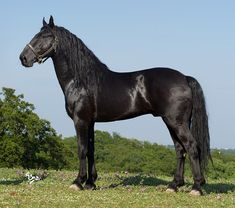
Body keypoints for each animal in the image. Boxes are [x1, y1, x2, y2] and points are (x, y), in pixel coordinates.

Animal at [19, 16, 211, 195]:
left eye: (45, 36)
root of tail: (185, 78)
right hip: (171, 122)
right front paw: (90, 183)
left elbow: (81, 149)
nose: (23, 58)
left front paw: (78, 182)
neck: (80, 80)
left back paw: (196, 187)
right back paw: (174, 185)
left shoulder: (80, 120)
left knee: (191, 147)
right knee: (180, 149)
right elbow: (91, 150)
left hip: (176, 122)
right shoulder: (91, 122)